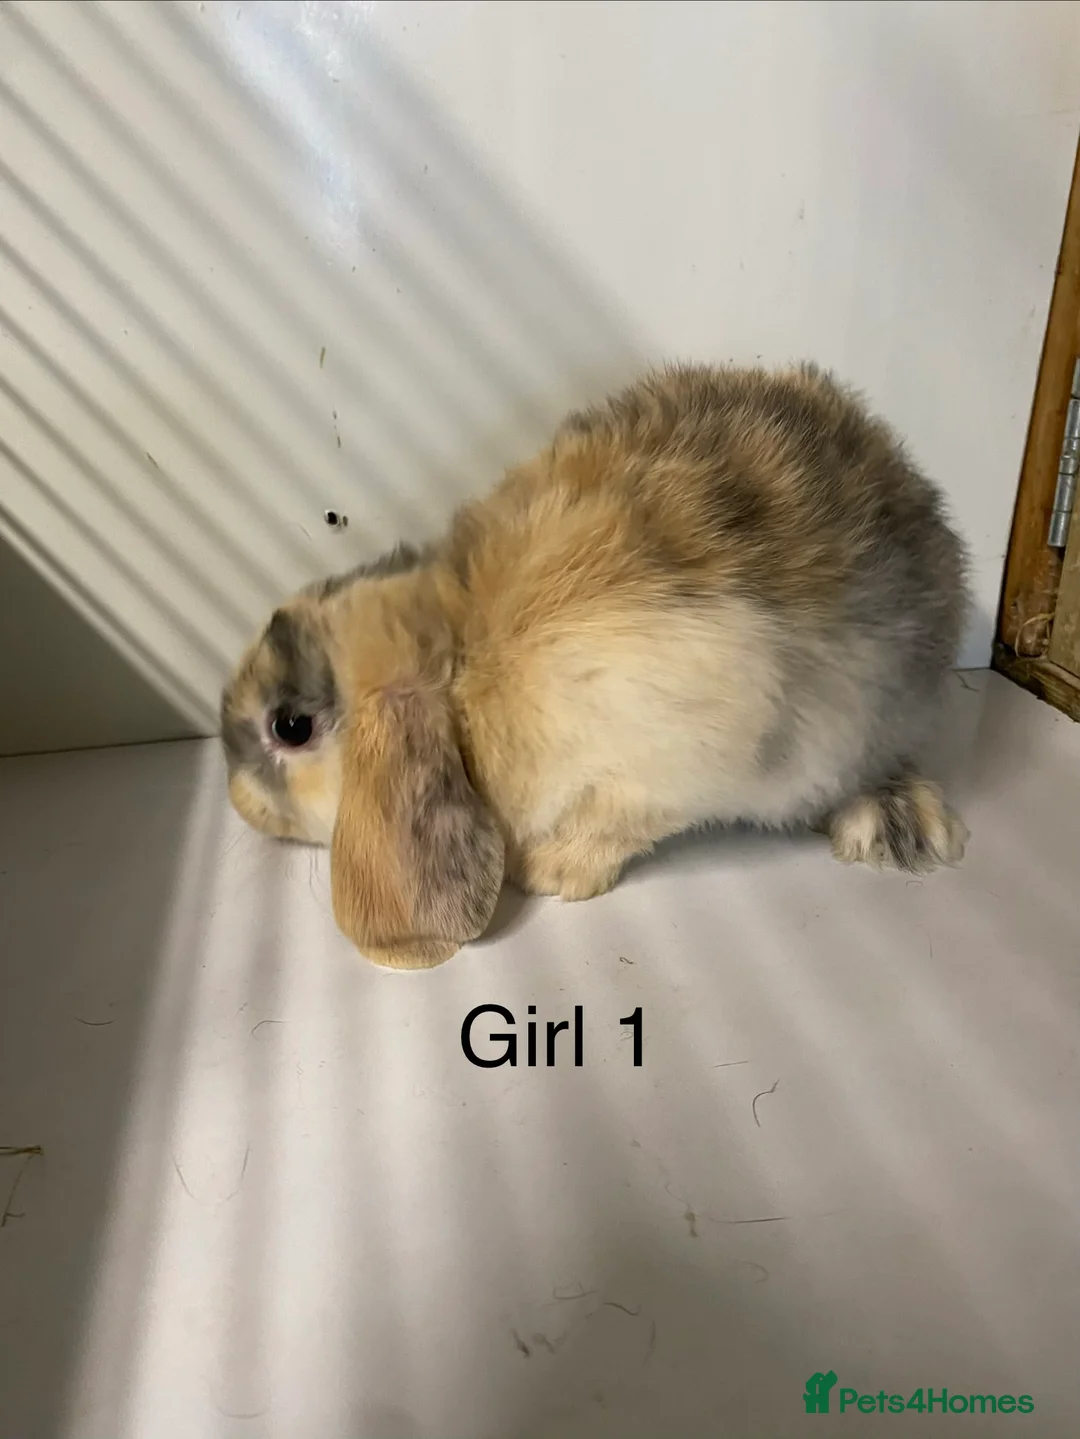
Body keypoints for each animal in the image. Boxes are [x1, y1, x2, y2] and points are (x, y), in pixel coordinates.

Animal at [221, 362, 970, 969]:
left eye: (289, 727)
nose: (237, 801)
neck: (460, 661)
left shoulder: (685, 731)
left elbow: (624, 817)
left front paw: (549, 871)